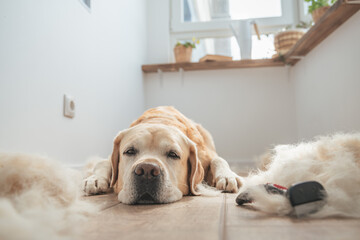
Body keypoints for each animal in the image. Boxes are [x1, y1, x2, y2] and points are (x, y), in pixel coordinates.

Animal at [83, 106, 242, 203]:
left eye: (173, 154)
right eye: (130, 151)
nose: (146, 170)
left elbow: (218, 160)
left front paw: (227, 176)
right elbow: (103, 162)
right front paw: (95, 179)